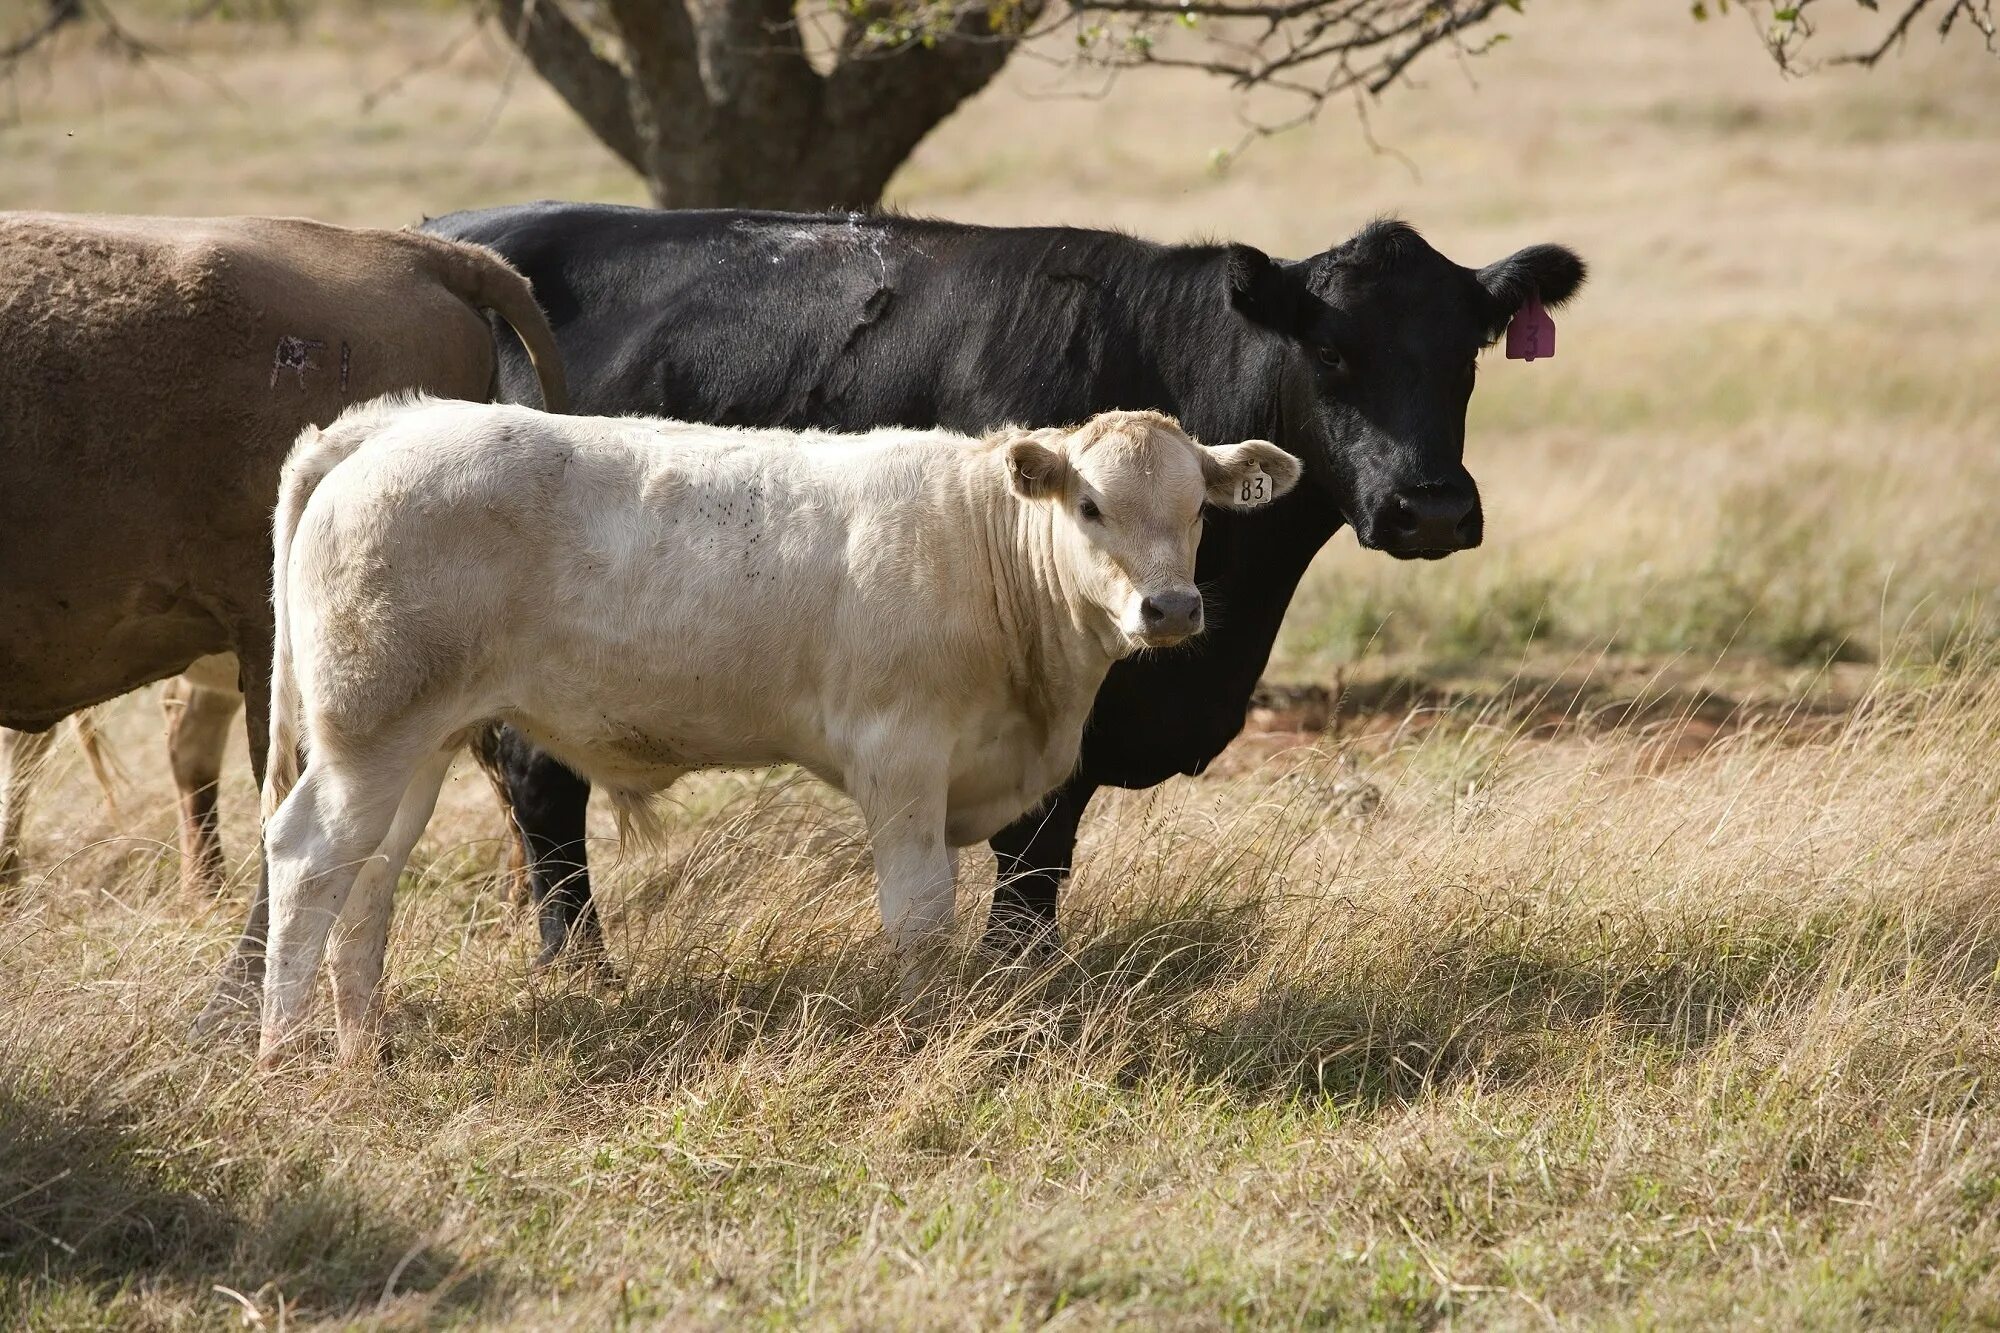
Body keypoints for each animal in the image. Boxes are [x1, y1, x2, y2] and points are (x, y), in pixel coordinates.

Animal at [430, 200, 1584, 956]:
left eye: (1467, 356)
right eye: (1332, 354)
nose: (1430, 508)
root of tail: (470, 230)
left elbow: (1048, 862)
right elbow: (1030, 864)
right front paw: (1014, 983)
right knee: (543, 789)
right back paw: (579, 964)